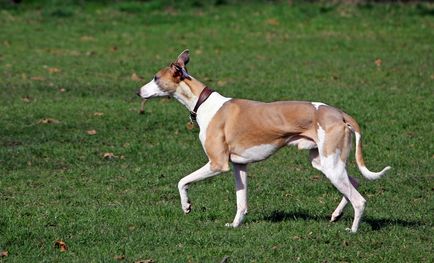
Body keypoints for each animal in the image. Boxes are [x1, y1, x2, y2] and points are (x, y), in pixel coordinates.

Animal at [137, 50, 392, 234]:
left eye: (155, 78)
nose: (138, 91)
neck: (204, 102)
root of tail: (339, 113)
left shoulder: (217, 164)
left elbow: (182, 181)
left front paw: (186, 206)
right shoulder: (239, 166)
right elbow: (241, 202)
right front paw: (235, 225)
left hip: (331, 165)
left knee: (359, 200)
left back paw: (353, 230)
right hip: (323, 162)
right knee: (354, 182)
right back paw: (337, 214)